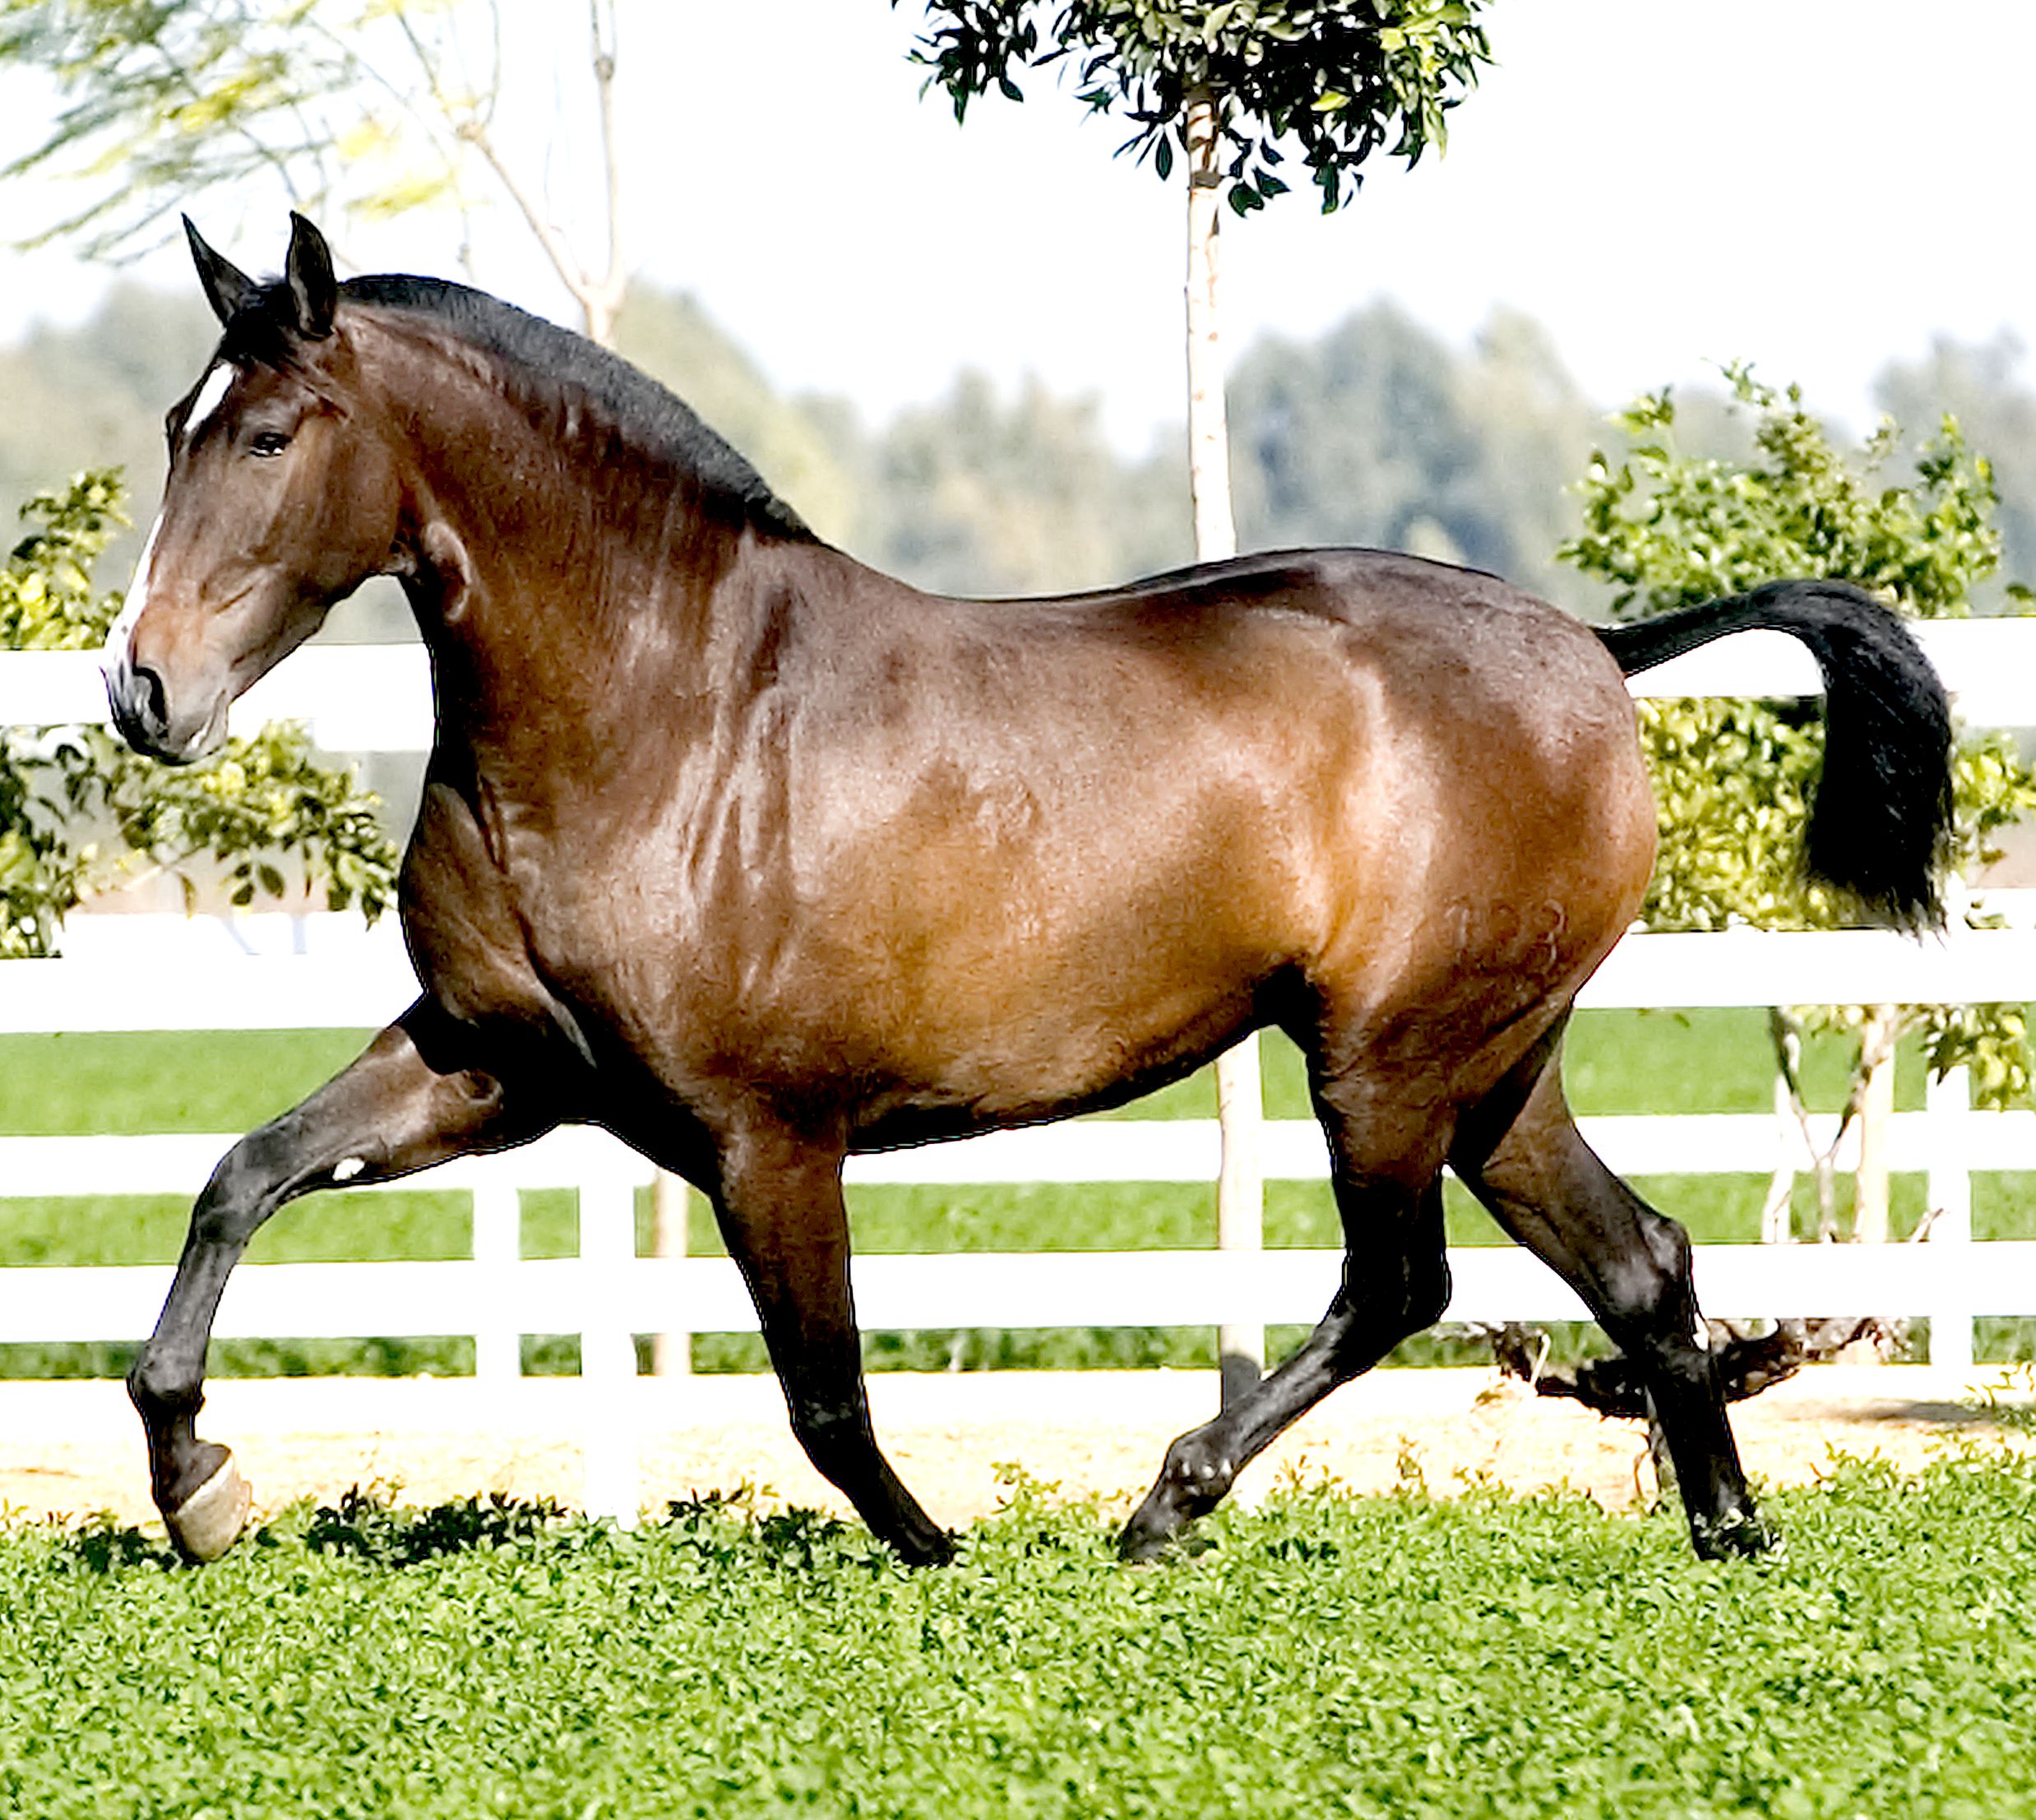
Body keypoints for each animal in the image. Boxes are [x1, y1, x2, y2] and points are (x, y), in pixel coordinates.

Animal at [103, 214, 1953, 1566]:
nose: (141, 691)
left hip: (1384, 1059)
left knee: (1400, 1284)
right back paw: (1726, 1531)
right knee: (1636, 1259)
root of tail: (1593, 649)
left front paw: (938, 1555)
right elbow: (240, 1177)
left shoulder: (766, 1131)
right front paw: (201, 1484)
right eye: (174, 425)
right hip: (1495, 1069)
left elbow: (826, 1396)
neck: (664, 711)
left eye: (266, 430)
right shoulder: (497, 1063)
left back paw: (1166, 1501)